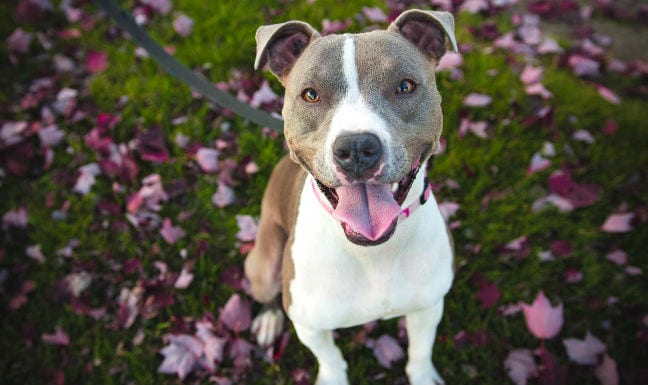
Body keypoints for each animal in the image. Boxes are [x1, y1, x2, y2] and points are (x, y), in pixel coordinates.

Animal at [246, 9, 458, 384]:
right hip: (263, 264)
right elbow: (330, 358)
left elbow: (420, 353)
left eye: (405, 86)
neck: (374, 251)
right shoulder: (309, 325)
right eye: (311, 94)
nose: (357, 147)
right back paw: (269, 319)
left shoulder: (428, 306)